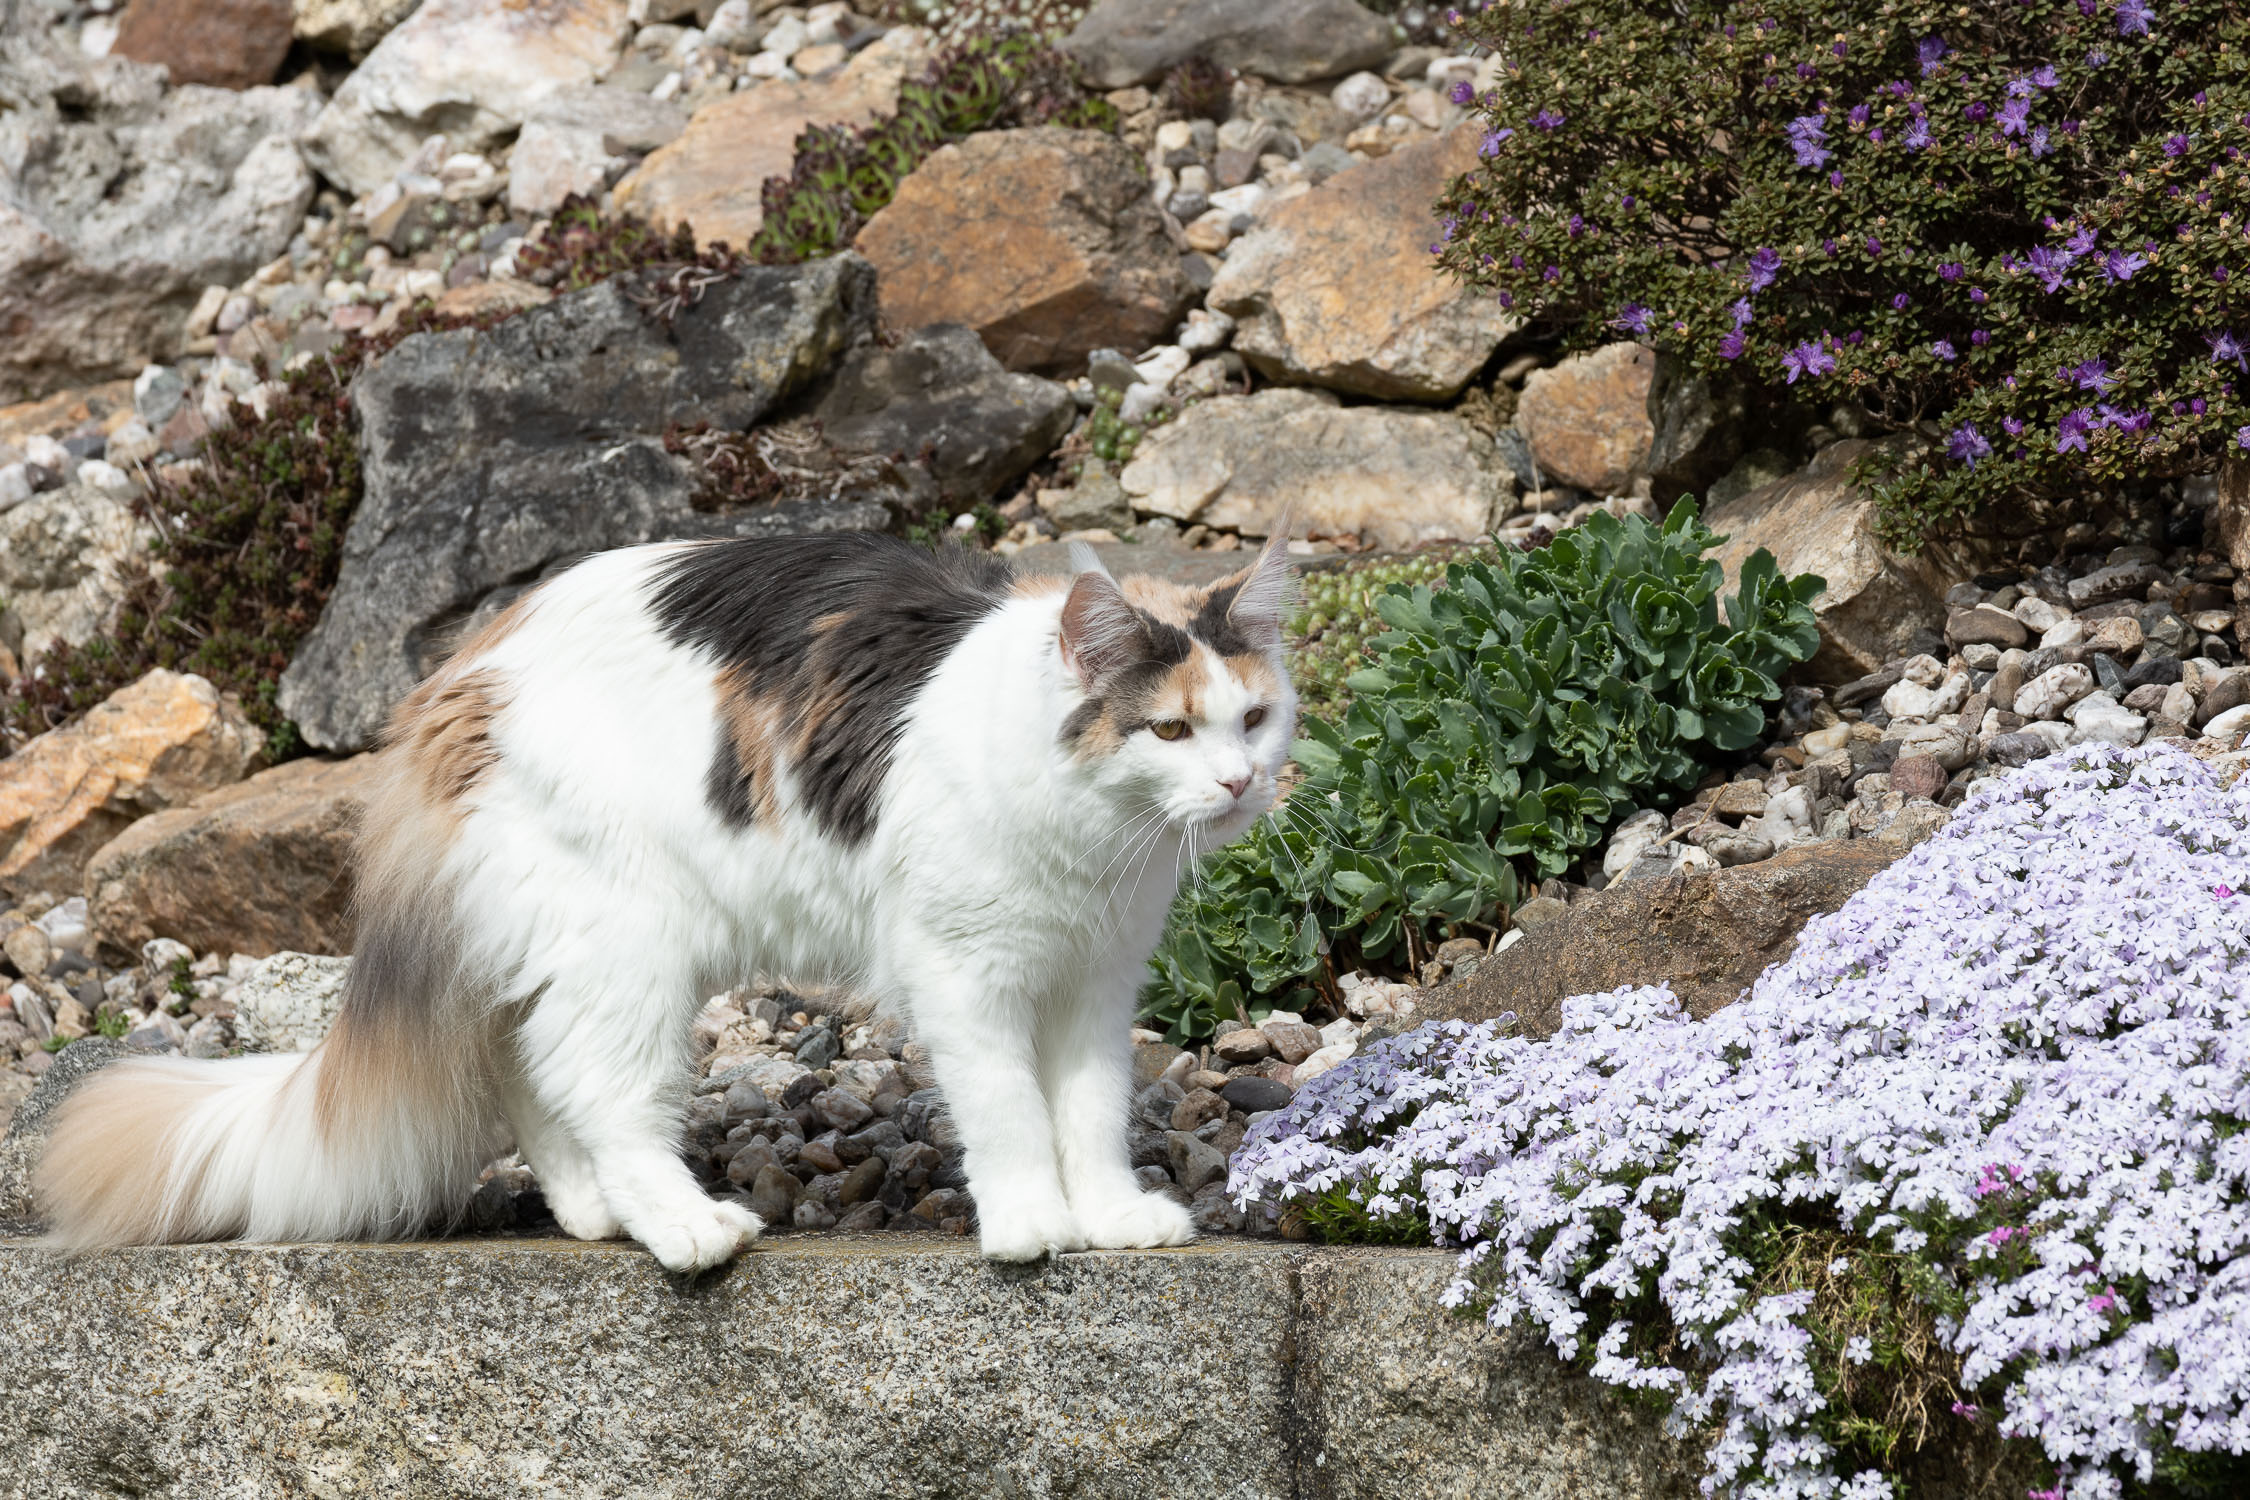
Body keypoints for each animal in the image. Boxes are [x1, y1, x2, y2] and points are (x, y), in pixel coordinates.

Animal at [37, 531, 1296, 1270]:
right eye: (1167, 731)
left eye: (1254, 718)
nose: (1240, 783)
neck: (1101, 841)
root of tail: (456, 673)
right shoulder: (968, 975)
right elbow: (1010, 1114)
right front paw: (1033, 1228)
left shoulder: (1095, 983)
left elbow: (1088, 1112)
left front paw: (1114, 1219)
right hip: (628, 945)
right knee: (599, 1088)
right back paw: (685, 1228)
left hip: (583, 947)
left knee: (528, 1065)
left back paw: (594, 1212)